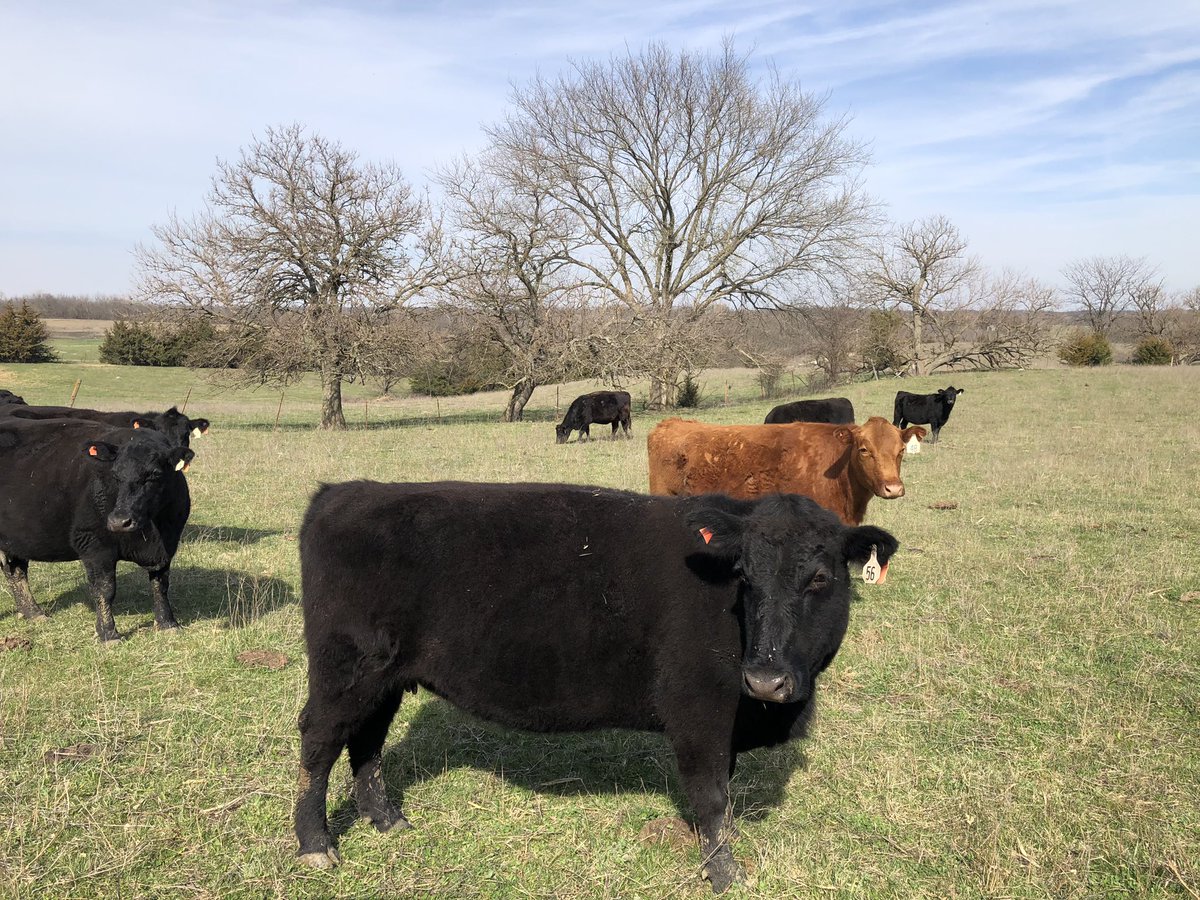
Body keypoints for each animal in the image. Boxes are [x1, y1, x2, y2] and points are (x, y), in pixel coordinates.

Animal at [0, 418, 194, 642]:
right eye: (115, 475)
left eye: (154, 475)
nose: (119, 521)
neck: (152, 532)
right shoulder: (94, 546)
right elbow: (105, 590)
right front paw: (109, 634)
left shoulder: (167, 546)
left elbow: (160, 585)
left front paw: (167, 623)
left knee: (15, 571)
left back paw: (34, 613)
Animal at [294, 480, 898, 892]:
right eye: (743, 575)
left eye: (820, 577)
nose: (765, 679)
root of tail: (344, 493)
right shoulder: (697, 712)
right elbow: (711, 798)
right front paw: (726, 874)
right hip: (343, 670)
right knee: (319, 742)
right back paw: (315, 844)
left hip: (384, 677)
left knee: (367, 742)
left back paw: (387, 820)